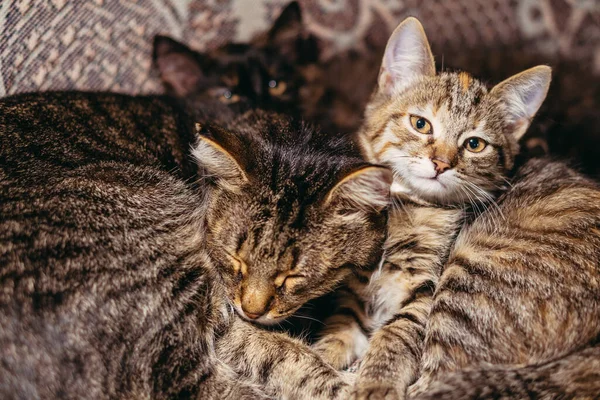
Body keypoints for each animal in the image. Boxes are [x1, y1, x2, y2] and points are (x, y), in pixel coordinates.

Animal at [314, 17, 556, 398]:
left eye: (474, 144)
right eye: (420, 124)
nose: (441, 163)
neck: (405, 206)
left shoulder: (426, 289)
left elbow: (395, 333)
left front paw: (375, 382)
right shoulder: (354, 291)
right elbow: (339, 326)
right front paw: (319, 355)